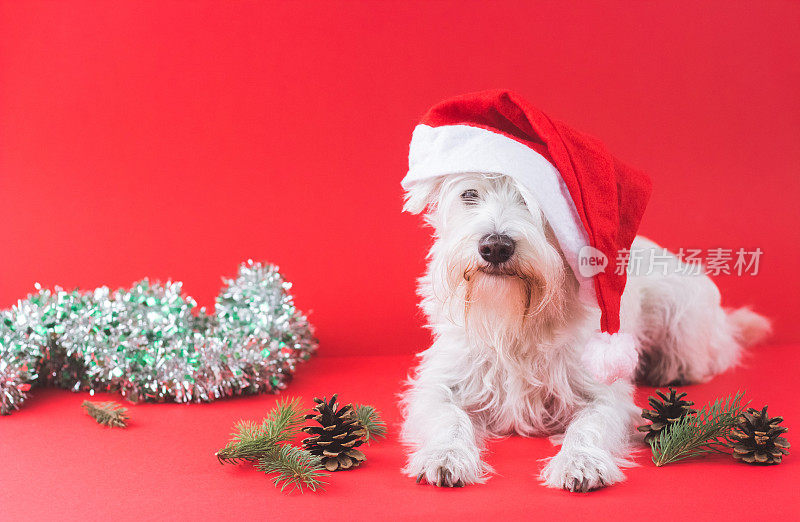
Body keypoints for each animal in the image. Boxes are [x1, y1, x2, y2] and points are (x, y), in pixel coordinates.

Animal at [400, 171, 768, 488]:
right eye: (469, 194)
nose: (495, 246)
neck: (516, 321)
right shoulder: (441, 384)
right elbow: (448, 419)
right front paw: (445, 456)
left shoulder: (601, 391)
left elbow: (588, 426)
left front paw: (581, 462)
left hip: (681, 316)